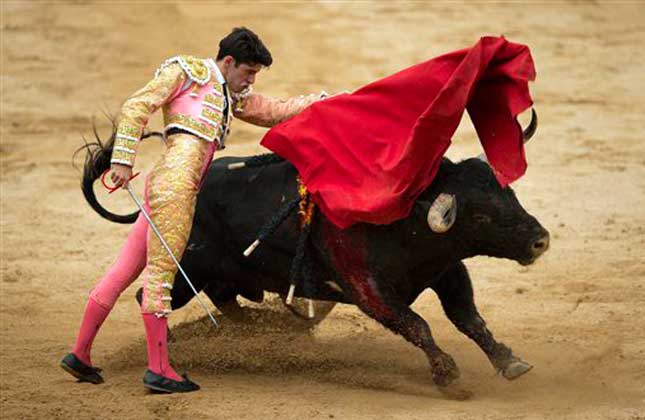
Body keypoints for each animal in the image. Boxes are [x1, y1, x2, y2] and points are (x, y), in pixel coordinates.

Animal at [80, 112, 548, 390]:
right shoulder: (369, 291)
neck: (406, 215)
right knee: (148, 296)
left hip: (222, 275)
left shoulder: (447, 270)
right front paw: (445, 371)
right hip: (184, 271)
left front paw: (509, 360)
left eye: (509, 193)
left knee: (225, 299)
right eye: (481, 216)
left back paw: (259, 332)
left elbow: (470, 319)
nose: (540, 240)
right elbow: (418, 325)